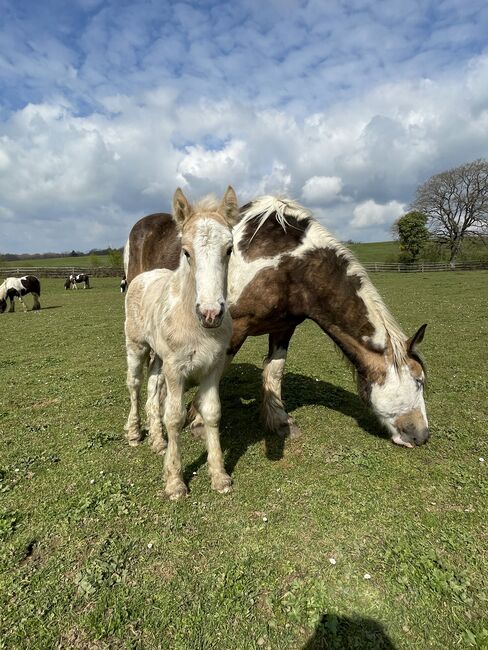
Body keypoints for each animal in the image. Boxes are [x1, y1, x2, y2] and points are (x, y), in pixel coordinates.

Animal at [124, 186, 239, 500]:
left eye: (229, 249)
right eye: (186, 252)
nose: (210, 313)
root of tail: (143, 276)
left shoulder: (213, 367)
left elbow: (212, 412)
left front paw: (219, 476)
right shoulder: (176, 369)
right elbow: (174, 417)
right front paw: (175, 482)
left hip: (159, 357)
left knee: (152, 387)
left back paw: (156, 439)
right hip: (135, 346)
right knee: (134, 384)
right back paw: (134, 432)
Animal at [125, 196, 429, 450]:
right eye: (419, 381)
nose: (421, 435)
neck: (287, 265)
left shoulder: (284, 328)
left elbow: (274, 372)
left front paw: (280, 421)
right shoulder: (233, 327)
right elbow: (217, 373)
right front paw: (198, 422)